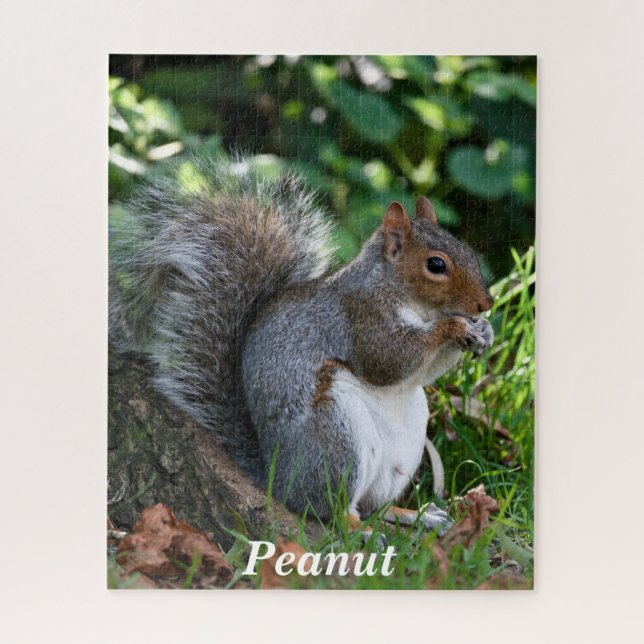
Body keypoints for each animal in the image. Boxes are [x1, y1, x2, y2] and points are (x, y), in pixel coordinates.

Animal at [109, 156, 494, 533]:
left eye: (469, 251)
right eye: (436, 264)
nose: (485, 303)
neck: (407, 298)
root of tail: (276, 479)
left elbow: (423, 373)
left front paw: (484, 331)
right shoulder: (360, 318)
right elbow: (389, 360)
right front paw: (454, 326)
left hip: (402, 447)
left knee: (374, 505)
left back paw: (417, 515)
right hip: (335, 439)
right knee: (332, 508)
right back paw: (361, 528)